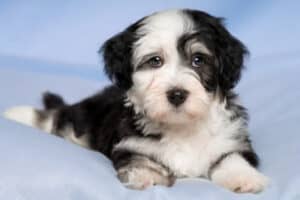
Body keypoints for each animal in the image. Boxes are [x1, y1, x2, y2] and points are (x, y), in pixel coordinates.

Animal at [4, 9, 268, 192]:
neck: (181, 127)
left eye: (198, 60)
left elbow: (232, 157)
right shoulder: (131, 142)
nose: (177, 94)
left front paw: (244, 177)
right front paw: (147, 174)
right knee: (59, 119)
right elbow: (140, 159)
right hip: (83, 120)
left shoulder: (231, 139)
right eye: (155, 61)